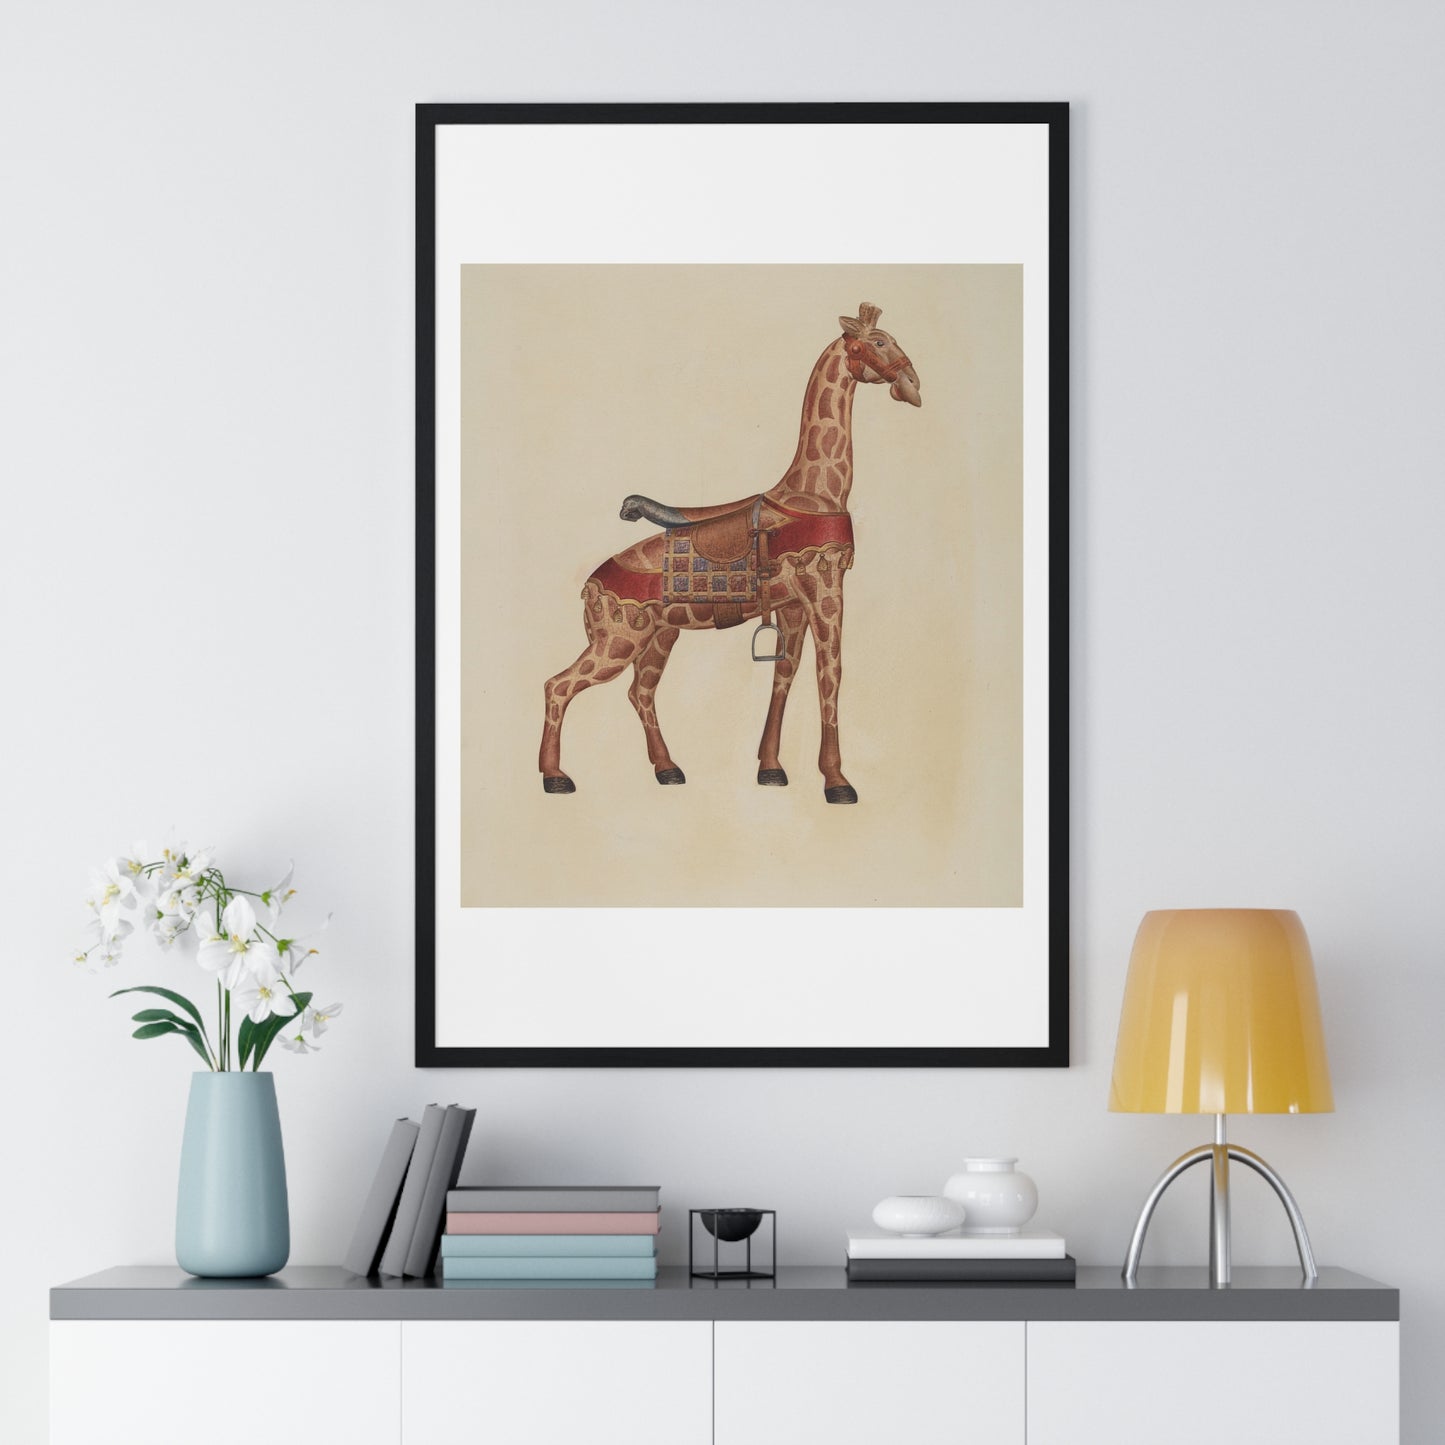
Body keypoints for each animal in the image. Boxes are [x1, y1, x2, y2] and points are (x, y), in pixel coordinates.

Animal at [538, 302, 921, 802]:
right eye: (877, 342)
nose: (913, 385)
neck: (815, 494)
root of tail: (589, 587)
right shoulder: (825, 591)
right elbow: (830, 677)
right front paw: (837, 782)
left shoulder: (792, 606)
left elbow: (784, 676)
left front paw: (771, 768)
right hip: (616, 642)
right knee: (557, 686)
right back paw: (555, 777)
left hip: (659, 638)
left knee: (640, 692)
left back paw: (668, 769)